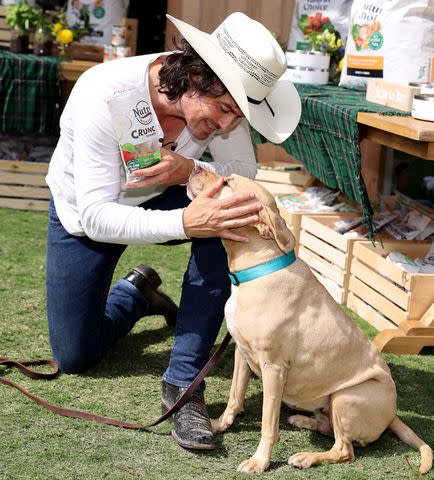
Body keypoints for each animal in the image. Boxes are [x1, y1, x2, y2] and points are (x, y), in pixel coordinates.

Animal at [188, 168, 432, 472]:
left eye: (227, 182)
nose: (194, 167)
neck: (258, 270)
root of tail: (393, 415)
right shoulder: (241, 354)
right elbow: (235, 397)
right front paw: (218, 425)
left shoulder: (274, 368)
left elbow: (268, 423)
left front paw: (259, 461)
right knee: (328, 430)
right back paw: (304, 420)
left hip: (345, 397)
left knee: (344, 450)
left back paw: (307, 456)